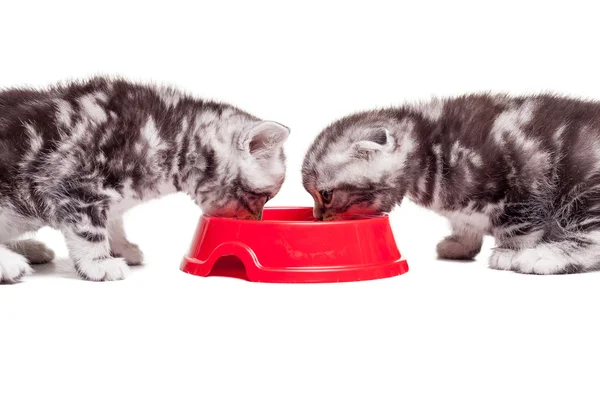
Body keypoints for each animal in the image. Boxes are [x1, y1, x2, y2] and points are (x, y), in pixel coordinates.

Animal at [0, 76, 290, 282]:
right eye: (262, 198)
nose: (257, 221)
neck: (173, 134)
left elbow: (112, 221)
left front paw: (120, 247)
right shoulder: (73, 182)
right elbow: (89, 229)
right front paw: (98, 263)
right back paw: (10, 262)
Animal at [302, 94, 600, 276]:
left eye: (325, 195)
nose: (317, 216)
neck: (428, 151)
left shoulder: (523, 183)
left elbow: (519, 226)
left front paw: (509, 253)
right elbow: (464, 221)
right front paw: (461, 243)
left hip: (585, 192)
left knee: (592, 239)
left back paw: (543, 257)